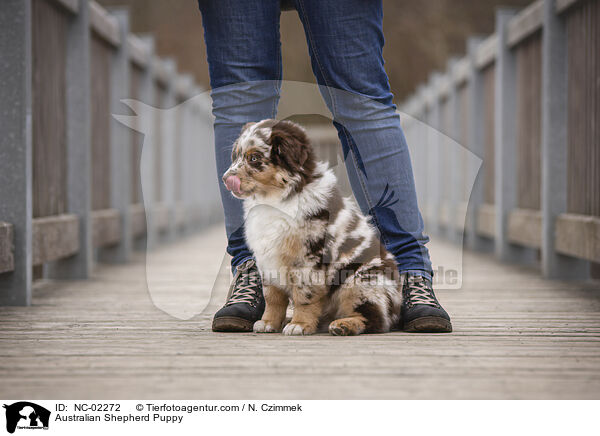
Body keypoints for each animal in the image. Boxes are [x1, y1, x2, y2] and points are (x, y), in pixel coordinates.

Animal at [223, 117, 400, 336]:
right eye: (236, 156)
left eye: (254, 158)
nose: (225, 179)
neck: (274, 199)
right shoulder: (268, 259)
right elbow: (273, 297)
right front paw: (269, 322)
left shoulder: (308, 259)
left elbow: (304, 296)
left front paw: (299, 324)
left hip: (361, 283)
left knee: (375, 319)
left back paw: (344, 325)